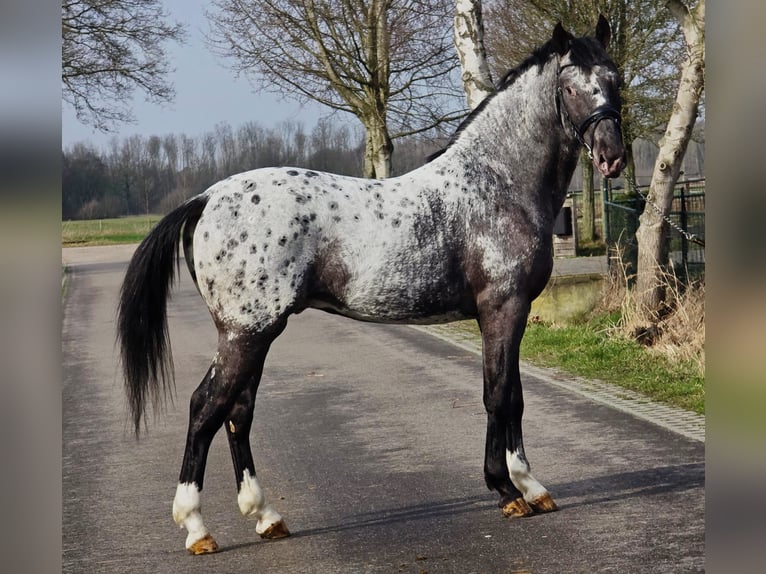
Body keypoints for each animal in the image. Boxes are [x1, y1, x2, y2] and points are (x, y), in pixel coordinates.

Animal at [118, 16, 625, 554]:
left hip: (252, 335)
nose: (612, 157)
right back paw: (197, 527)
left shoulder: (511, 312)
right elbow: (499, 395)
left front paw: (529, 485)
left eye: (614, 79)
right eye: (570, 88)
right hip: (246, 333)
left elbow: (514, 396)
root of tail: (207, 197)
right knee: (205, 408)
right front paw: (509, 490)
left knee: (238, 410)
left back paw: (265, 516)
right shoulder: (502, 308)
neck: (496, 184)